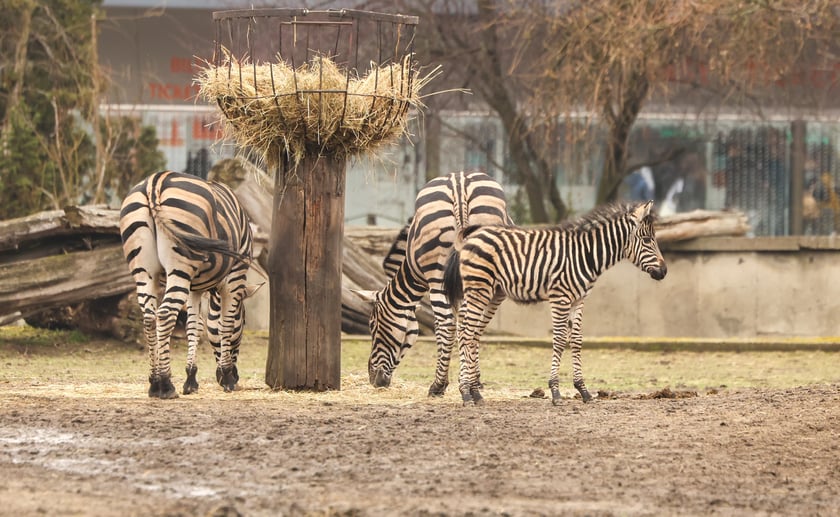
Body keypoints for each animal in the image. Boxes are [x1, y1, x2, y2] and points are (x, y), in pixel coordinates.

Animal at [120, 170, 254, 400]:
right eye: (244, 323)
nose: (235, 377)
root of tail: (155, 181)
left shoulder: (194, 288)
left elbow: (195, 326)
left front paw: (191, 379)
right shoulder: (235, 276)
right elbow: (225, 324)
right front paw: (227, 378)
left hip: (145, 271)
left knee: (149, 318)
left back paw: (154, 382)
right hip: (180, 266)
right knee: (165, 314)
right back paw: (165, 385)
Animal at [442, 200, 668, 406]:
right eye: (647, 240)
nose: (664, 272)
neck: (586, 255)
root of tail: (473, 235)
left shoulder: (579, 300)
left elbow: (576, 341)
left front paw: (583, 391)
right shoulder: (560, 298)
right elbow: (559, 340)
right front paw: (555, 392)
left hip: (491, 294)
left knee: (472, 334)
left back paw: (476, 393)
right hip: (479, 290)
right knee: (466, 334)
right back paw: (466, 393)